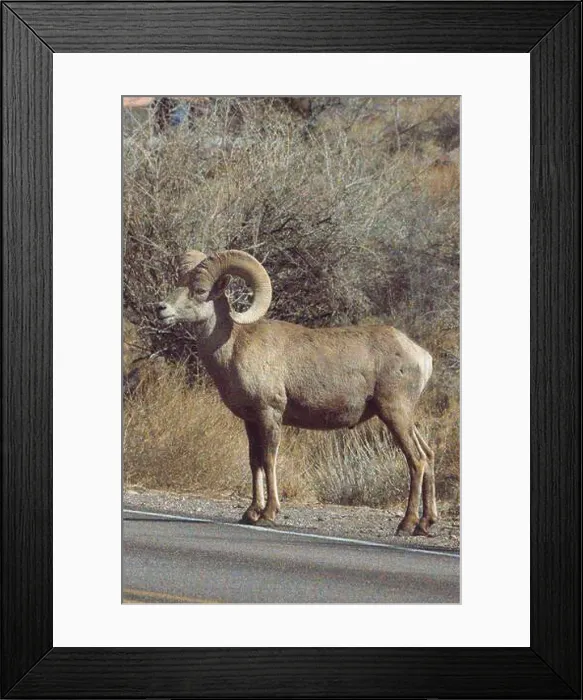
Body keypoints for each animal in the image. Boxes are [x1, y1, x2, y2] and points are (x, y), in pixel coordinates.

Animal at [157, 249, 437, 536]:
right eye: (179, 282)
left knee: (416, 460)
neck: (235, 345)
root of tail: (422, 356)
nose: (161, 308)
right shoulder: (251, 421)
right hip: (404, 418)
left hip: (394, 413)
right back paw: (425, 524)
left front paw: (268, 514)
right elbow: (254, 461)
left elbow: (269, 460)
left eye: (200, 290)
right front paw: (250, 513)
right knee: (428, 455)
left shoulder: (270, 414)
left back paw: (406, 524)